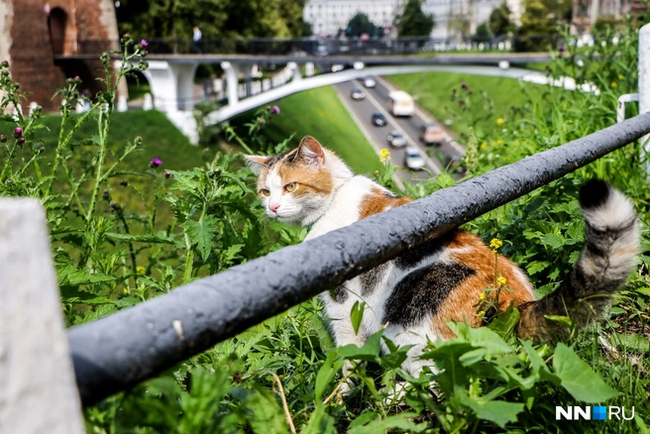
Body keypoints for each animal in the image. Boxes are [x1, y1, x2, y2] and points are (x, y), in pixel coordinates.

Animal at [243, 136, 636, 394]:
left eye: (291, 186)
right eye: (265, 191)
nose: (272, 207)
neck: (336, 199)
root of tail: (516, 303)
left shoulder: (343, 307)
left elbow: (347, 356)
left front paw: (340, 394)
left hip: (408, 329)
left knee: (436, 385)